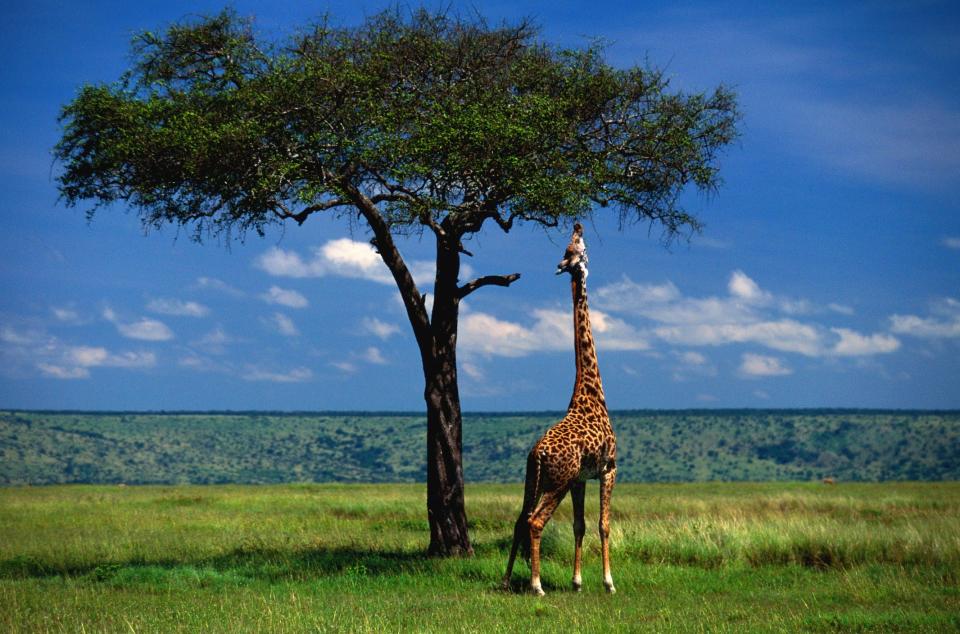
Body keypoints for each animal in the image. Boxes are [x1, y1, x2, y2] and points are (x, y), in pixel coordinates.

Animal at [502, 221, 616, 592]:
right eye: (578, 246)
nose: (578, 224)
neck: (591, 392)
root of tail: (538, 452)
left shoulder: (581, 478)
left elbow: (580, 526)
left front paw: (577, 582)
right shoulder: (609, 468)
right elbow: (603, 525)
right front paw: (608, 582)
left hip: (535, 478)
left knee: (520, 519)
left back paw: (507, 579)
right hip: (557, 482)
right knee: (536, 522)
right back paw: (536, 585)